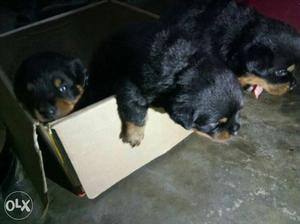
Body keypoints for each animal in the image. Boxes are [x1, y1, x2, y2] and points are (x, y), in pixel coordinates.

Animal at [97, 23, 245, 147]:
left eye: (239, 111)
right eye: (215, 123)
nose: (236, 130)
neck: (185, 67)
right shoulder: (133, 84)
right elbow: (135, 107)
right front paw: (134, 135)